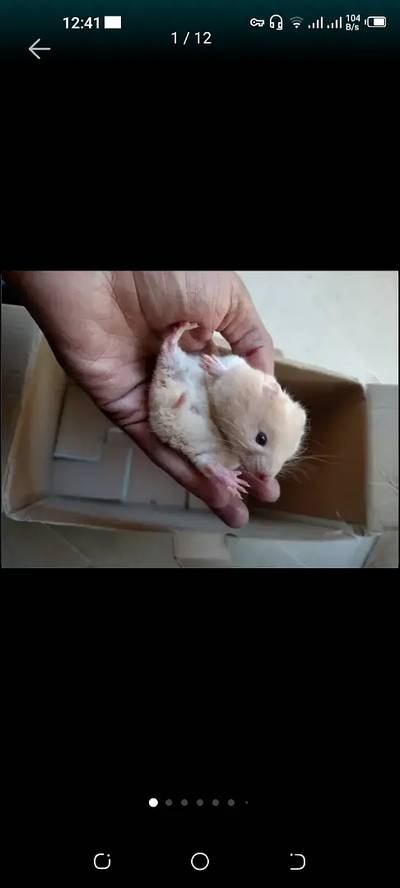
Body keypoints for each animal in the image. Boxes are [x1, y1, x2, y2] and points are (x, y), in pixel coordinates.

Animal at [149, 321, 307, 499]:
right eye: (261, 439)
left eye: (289, 455)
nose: (264, 478)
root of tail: (166, 412)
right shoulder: (232, 368)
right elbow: (225, 372)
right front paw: (210, 364)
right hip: (171, 365)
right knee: (167, 346)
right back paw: (185, 327)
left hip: (202, 452)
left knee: (210, 467)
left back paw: (235, 483)